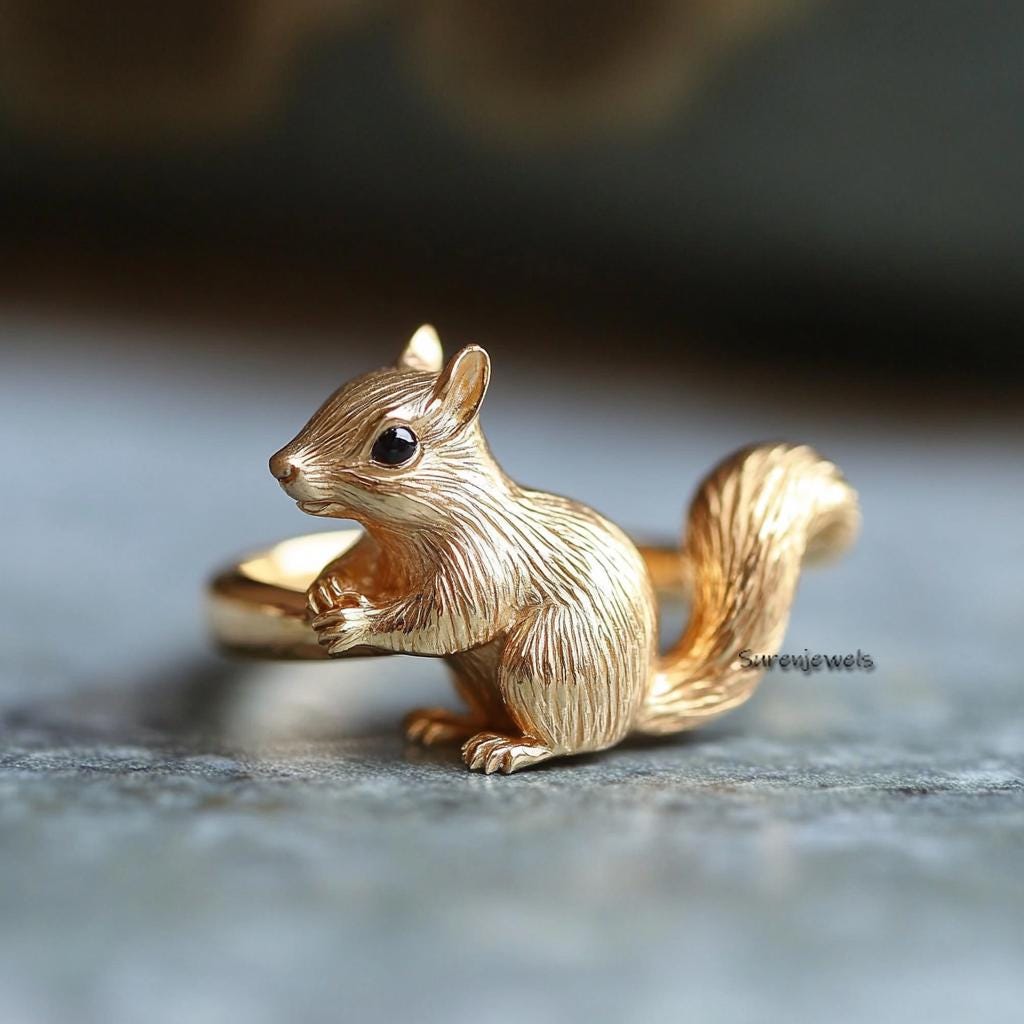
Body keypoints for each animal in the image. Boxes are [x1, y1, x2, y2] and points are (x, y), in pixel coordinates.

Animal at [269, 326, 860, 773]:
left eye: (395, 445)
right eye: (340, 392)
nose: (281, 466)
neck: (403, 533)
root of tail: (636, 699)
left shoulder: (485, 563)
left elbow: (450, 620)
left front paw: (356, 623)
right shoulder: (376, 550)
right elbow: (357, 566)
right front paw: (325, 587)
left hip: (545, 659)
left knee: (568, 740)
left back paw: (512, 747)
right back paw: (450, 722)